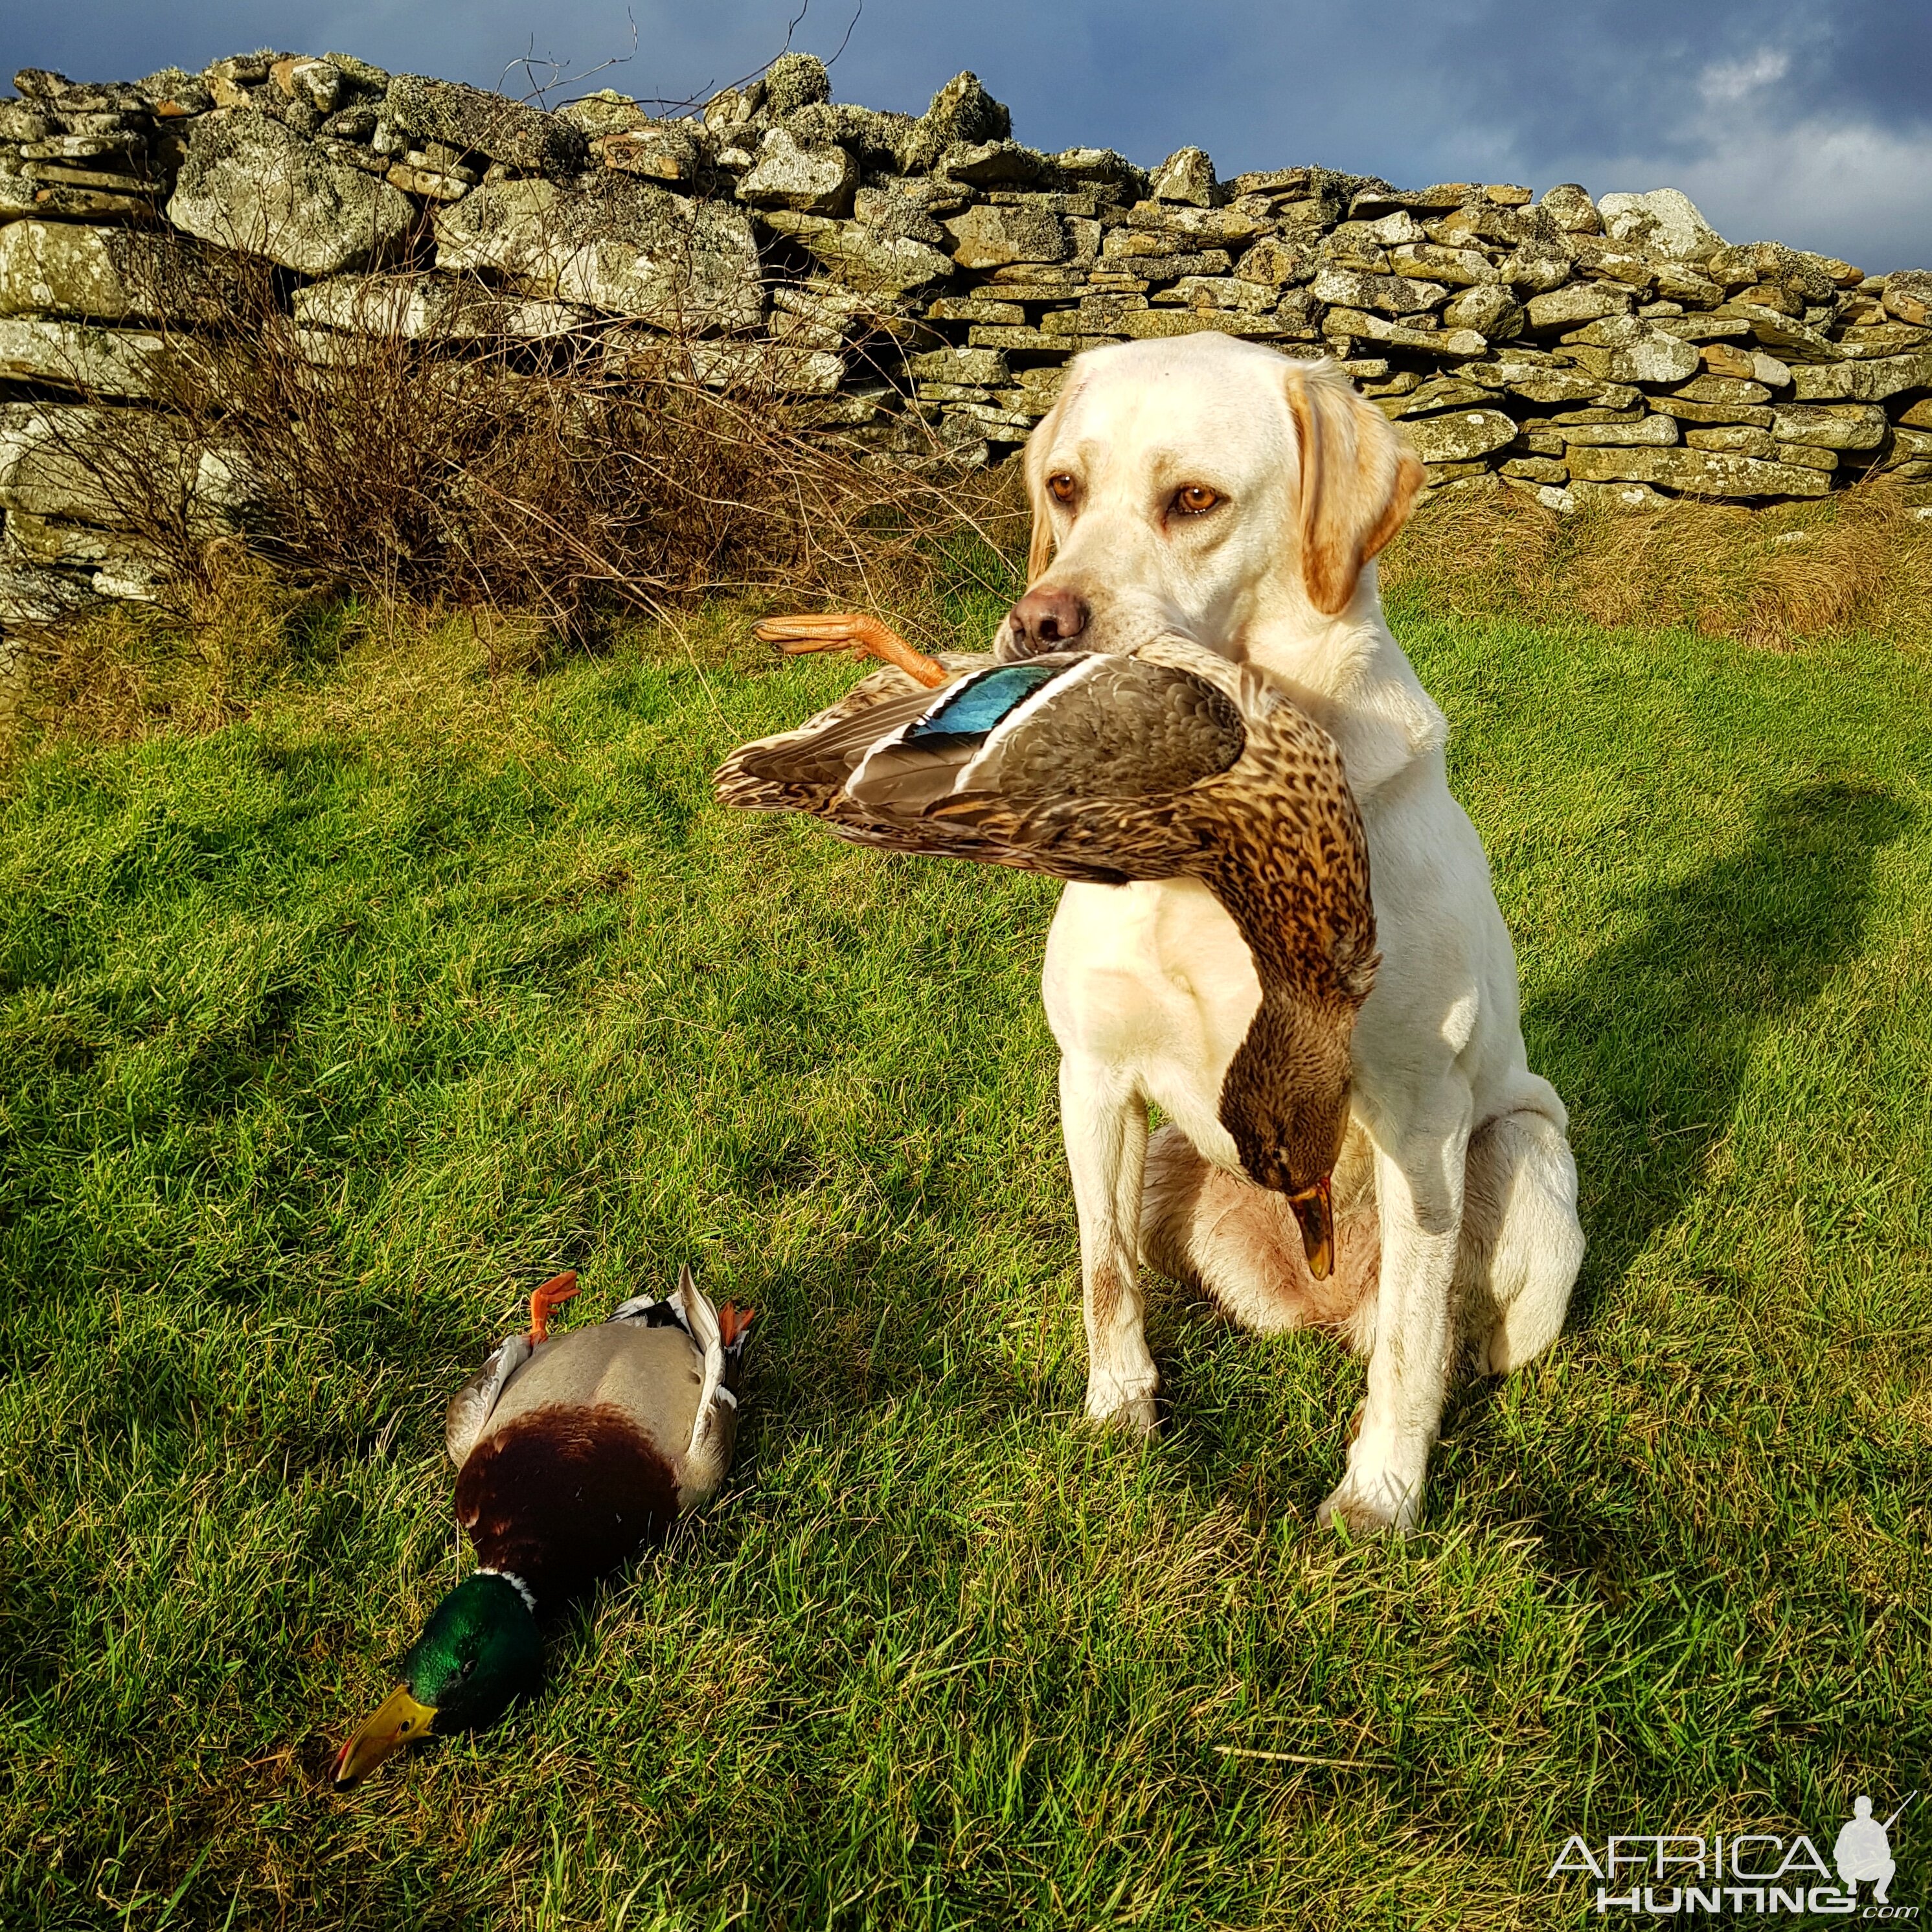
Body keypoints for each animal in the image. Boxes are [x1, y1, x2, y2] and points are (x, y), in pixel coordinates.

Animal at [1005, 336, 1576, 1538]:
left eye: (1193, 500)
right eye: (1063, 488)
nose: (1039, 625)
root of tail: (1312, 1300)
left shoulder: (1416, 1111)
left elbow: (1410, 1343)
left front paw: (1380, 1499)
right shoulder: (1092, 1074)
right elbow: (1103, 1274)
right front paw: (1118, 1411)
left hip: (1521, 1151)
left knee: (1442, 1332)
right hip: (1170, 1153)